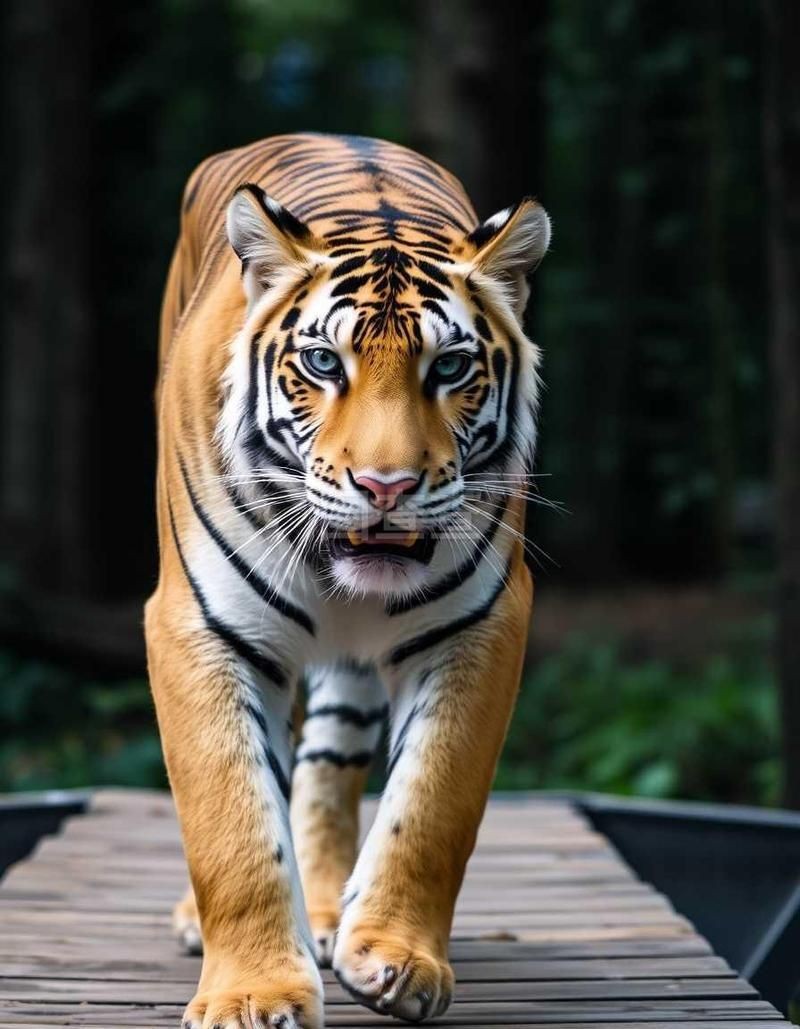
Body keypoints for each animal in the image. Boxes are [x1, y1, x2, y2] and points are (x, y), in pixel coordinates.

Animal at [145, 132, 550, 1029]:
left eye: (451, 367)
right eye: (323, 362)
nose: (385, 485)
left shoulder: (479, 626)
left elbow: (433, 804)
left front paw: (397, 960)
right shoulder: (200, 626)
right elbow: (231, 818)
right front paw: (251, 994)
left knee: (328, 765)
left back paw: (330, 914)